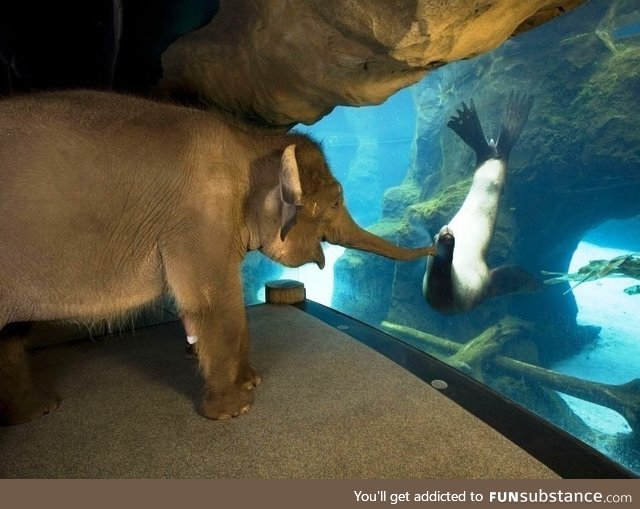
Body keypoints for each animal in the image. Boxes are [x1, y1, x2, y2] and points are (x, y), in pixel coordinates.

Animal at [0, 90, 436, 424]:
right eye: (334, 203)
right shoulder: (198, 219)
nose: (438, 242)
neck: (251, 140)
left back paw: (37, 411)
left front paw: (251, 381)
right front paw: (235, 409)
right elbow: (215, 305)